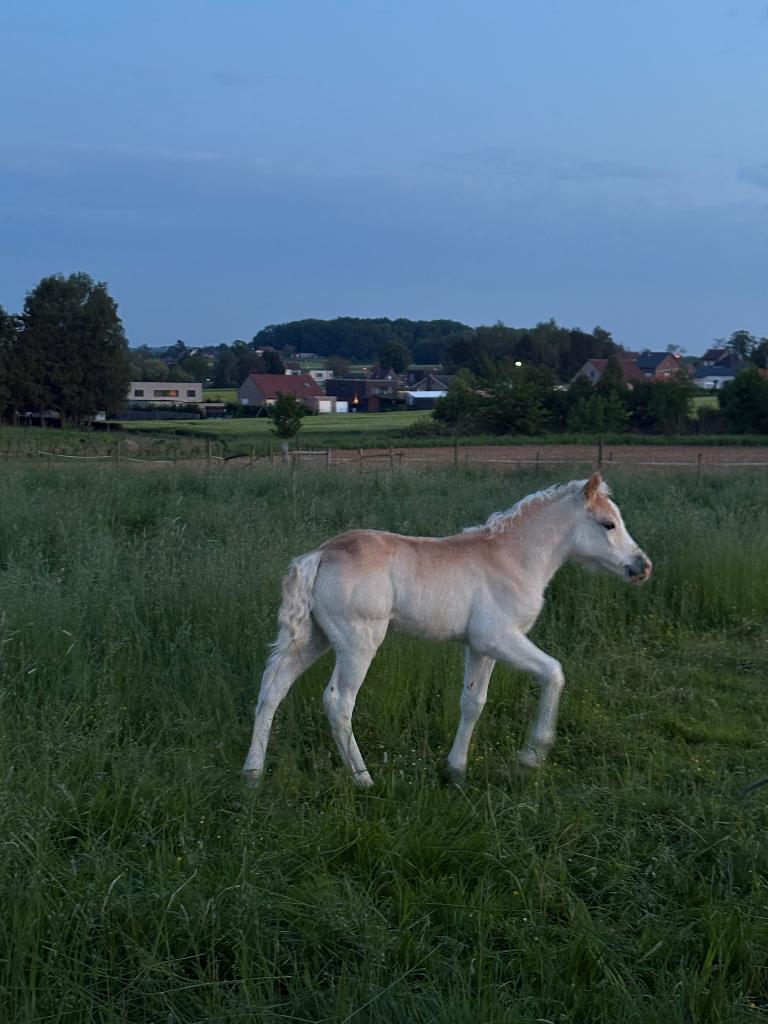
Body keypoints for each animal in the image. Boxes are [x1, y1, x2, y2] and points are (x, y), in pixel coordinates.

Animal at [242, 472, 652, 786]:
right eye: (608, 524)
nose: (642, 566)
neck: (513, 558)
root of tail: (320, 554)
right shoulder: (499, 637)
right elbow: (554, 673)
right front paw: (531, 757)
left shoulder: (480, 646)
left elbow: (473, 702)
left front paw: (456, 770)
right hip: (358, 642)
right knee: (338, 701)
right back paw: (363, 779)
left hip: (315, 638)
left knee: (272, 688)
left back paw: (252, 775)